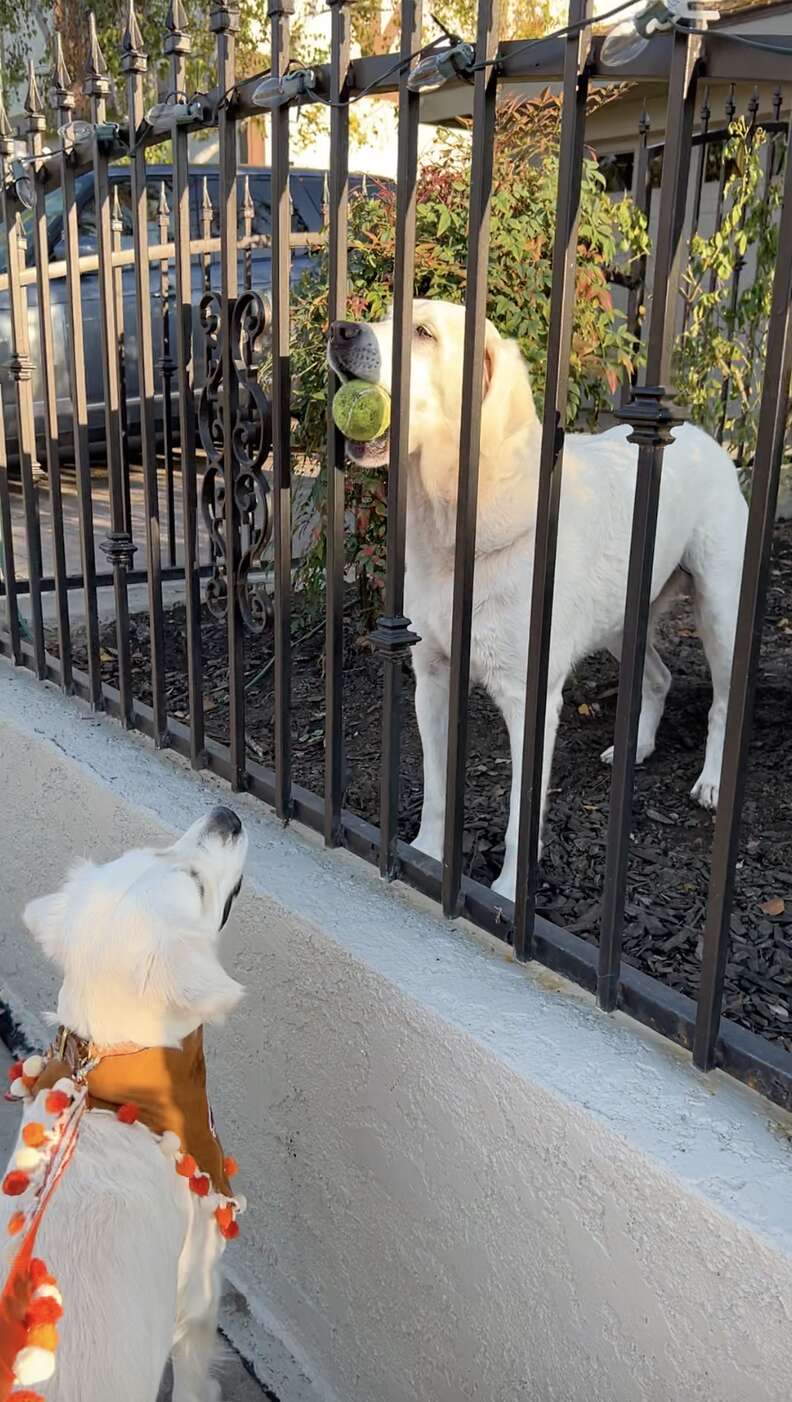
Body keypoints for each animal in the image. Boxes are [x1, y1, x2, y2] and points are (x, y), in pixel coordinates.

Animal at [328, 301, 745, 902]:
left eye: (424, 333)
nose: (338, 330)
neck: (454, 526)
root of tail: (702, 436)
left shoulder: (531, 702)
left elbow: (520, 817)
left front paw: (506, 893)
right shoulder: (432, 678)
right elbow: (436, 790)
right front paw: (427, 856)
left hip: (720, 611)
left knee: (721, 704)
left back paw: (710, 780)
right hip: (619, 620)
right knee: (659, 678)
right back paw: (637, 748)